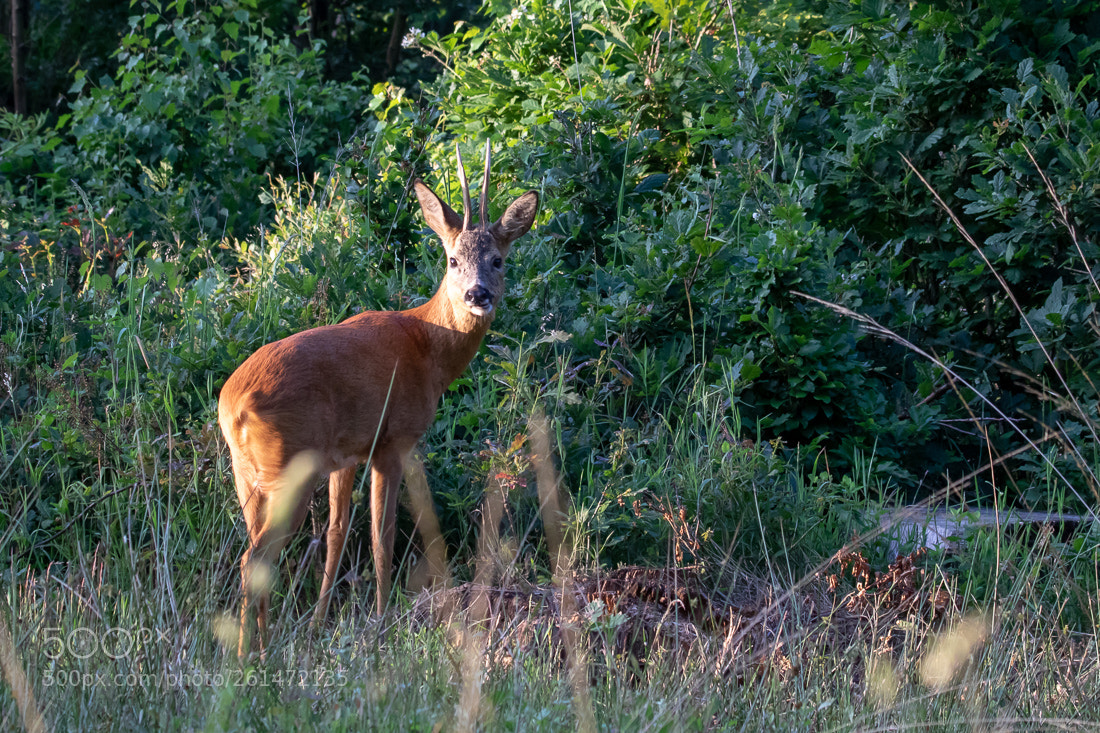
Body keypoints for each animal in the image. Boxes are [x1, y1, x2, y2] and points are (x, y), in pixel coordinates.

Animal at [218, 143, 539, 656]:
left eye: (497, 259)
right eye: (452, 259)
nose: (477, 294)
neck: (428, 346)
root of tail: (231, 406)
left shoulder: (346, 455)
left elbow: (335, 534)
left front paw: (319, 624)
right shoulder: (394, 440)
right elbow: (381, 536)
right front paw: (382, 621)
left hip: (248, 475)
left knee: (258, 553)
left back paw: (261, 643)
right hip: (289, 466)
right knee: (256, 558)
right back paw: (255, 654)